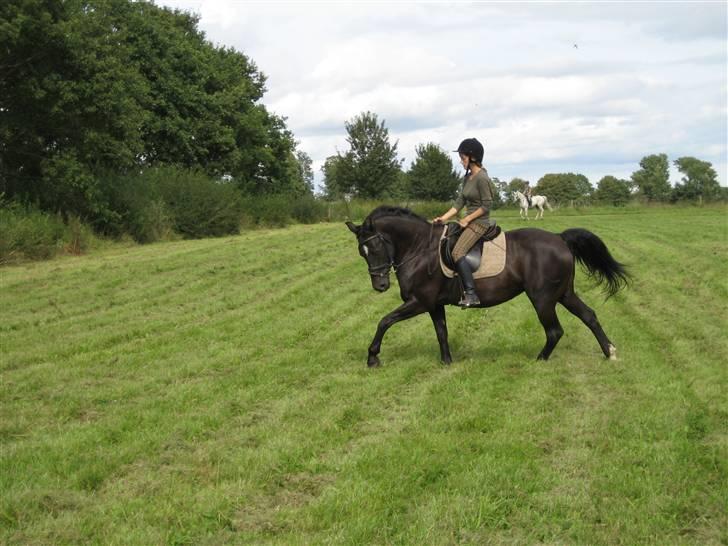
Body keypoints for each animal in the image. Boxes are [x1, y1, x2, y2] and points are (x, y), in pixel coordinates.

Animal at [344, 206, 628, 368]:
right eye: (361, 252)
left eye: (375, 247)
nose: (380, 285)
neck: (419, 249)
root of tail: (559, 239)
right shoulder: (434, 305)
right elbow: (441, 332)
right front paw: (447, 362)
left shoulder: (419, 302)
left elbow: (384, 321)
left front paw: (372, 357)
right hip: (564, 294)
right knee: (589, 316)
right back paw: (610, 352)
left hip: (543, 298)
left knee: (554, 331)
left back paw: (539, 360)